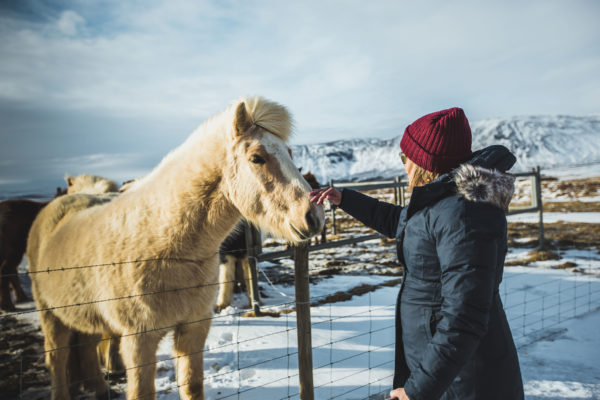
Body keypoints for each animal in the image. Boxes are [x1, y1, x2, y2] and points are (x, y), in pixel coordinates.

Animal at [28, 97, 326, 400]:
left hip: (83, 316)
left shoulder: (194, 327)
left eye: (289, 153)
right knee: (57, 358)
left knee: (86, 351)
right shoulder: (139, 341)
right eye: (257, 158)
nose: (314, 216)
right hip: (50, 315)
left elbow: (192, 385)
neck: (165, 245)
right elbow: (142, 392)